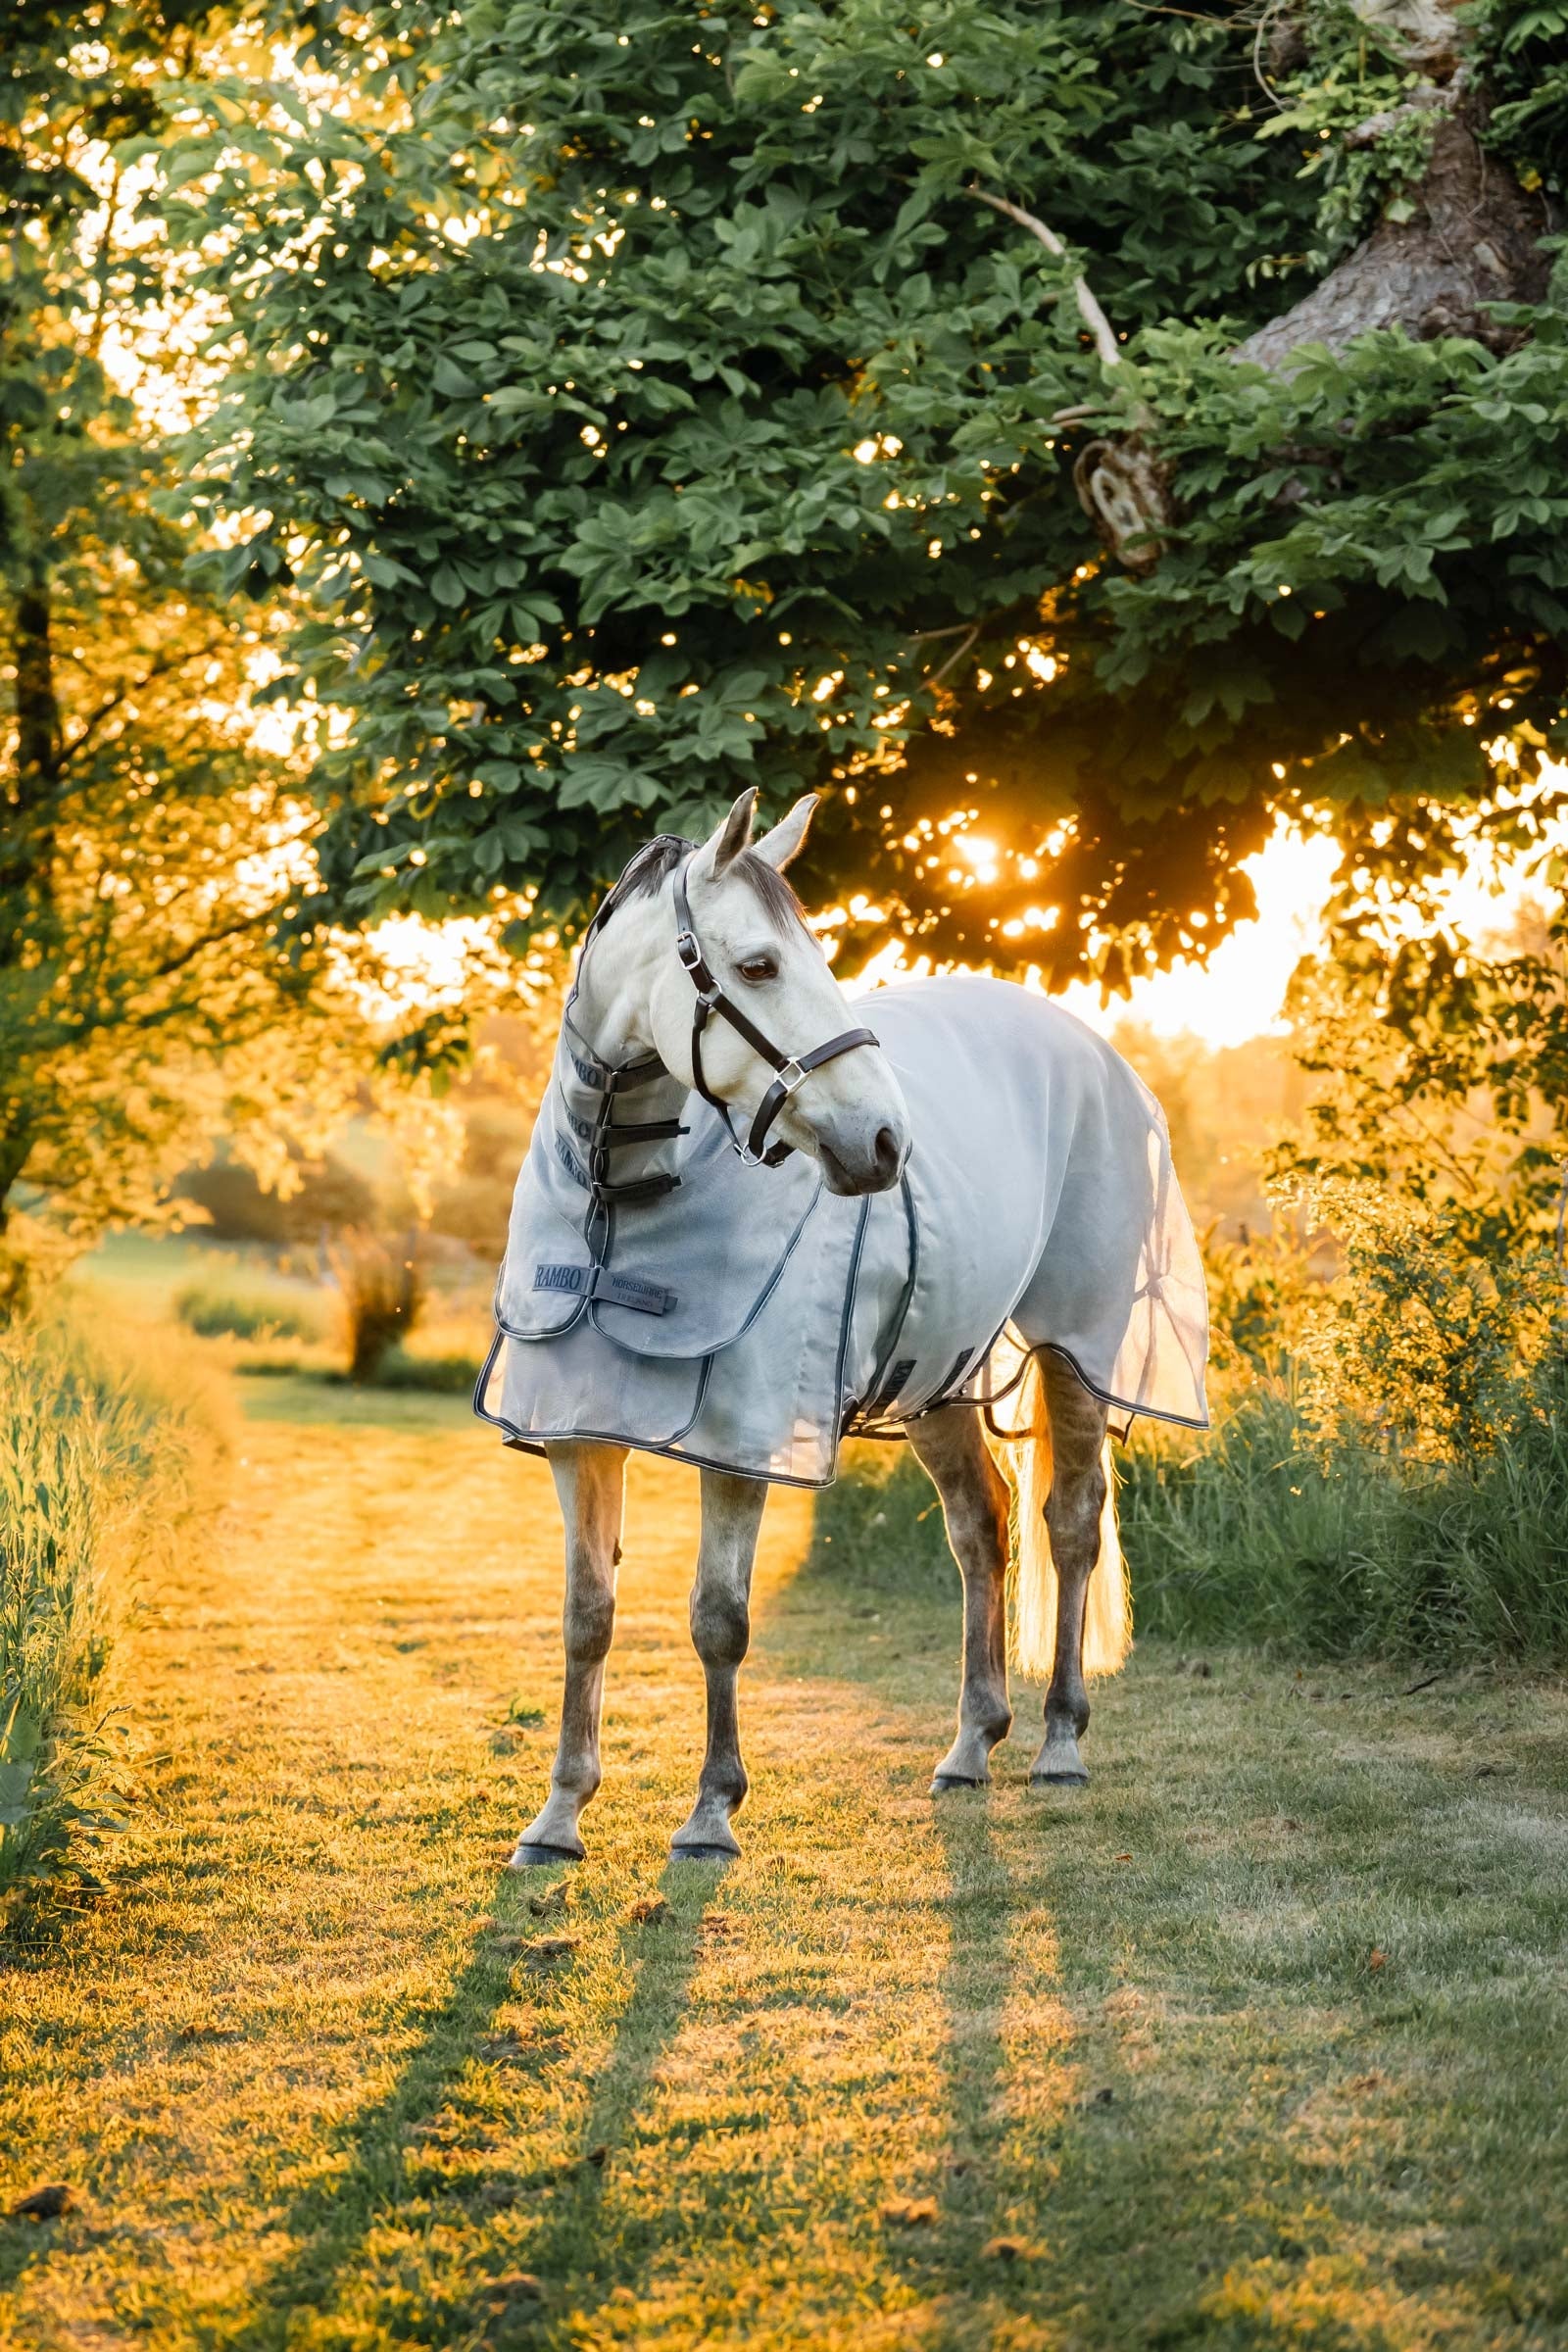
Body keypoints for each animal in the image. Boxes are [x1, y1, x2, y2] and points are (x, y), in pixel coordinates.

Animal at [478, 787, 1209, 1864]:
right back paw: (970, 1745)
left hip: (1076, 1350)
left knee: (1068, 1525)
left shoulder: (739, 1445)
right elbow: (586, 1616)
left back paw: (1060, 1743)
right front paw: (559, 1817)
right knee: (980, 1528)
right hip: (937, 1372)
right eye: (756, 966)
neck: (627, 1196)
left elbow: (718, 1619)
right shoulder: (577, 1434)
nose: (886, 1142)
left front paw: (710, 1813)